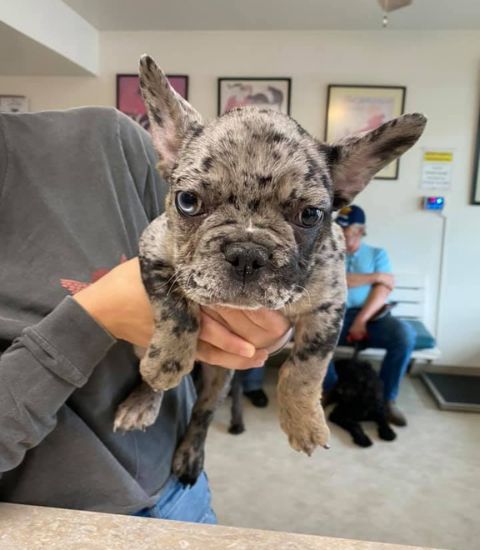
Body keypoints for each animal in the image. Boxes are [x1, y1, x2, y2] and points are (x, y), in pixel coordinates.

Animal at [113, 55, 428, 488]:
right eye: (188, 201)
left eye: (310, 215)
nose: (247, 253)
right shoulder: (154, 252)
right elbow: (176, 312)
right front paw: (167, 362)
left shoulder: (328, 305)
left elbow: (306, 367)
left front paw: (304, 422)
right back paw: (146, 395)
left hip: (221, 378)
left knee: (203, 412)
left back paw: (190, 453)